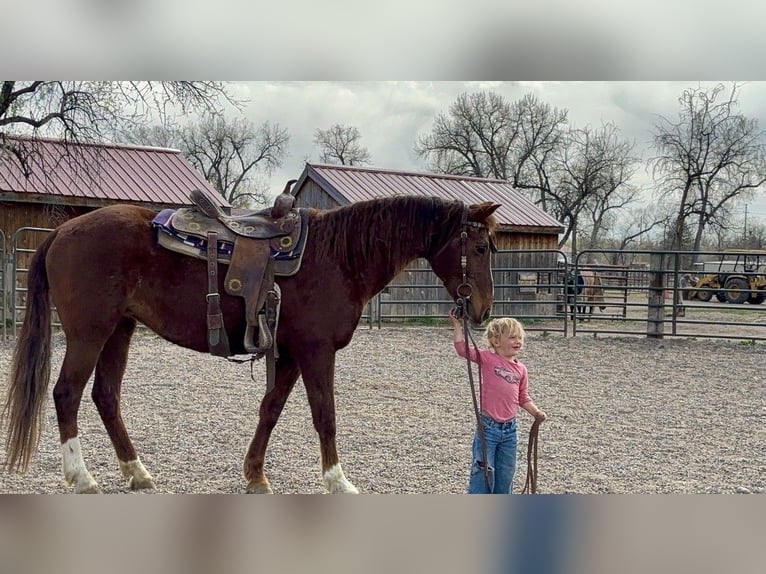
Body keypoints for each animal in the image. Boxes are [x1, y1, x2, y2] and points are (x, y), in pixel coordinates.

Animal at [2, 195, 499, 494]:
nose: (482, 312)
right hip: (89, 333)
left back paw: (136, 471)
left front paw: (255, 475)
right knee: (67, 394)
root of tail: (62, 232)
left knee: (106, 396)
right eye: (478, 248)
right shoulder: (316, 351)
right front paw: (337, 481)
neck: (338, 257)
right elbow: (325, 416)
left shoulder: (290, 353)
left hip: (119, 331)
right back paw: (81, 476)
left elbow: (271, 410)